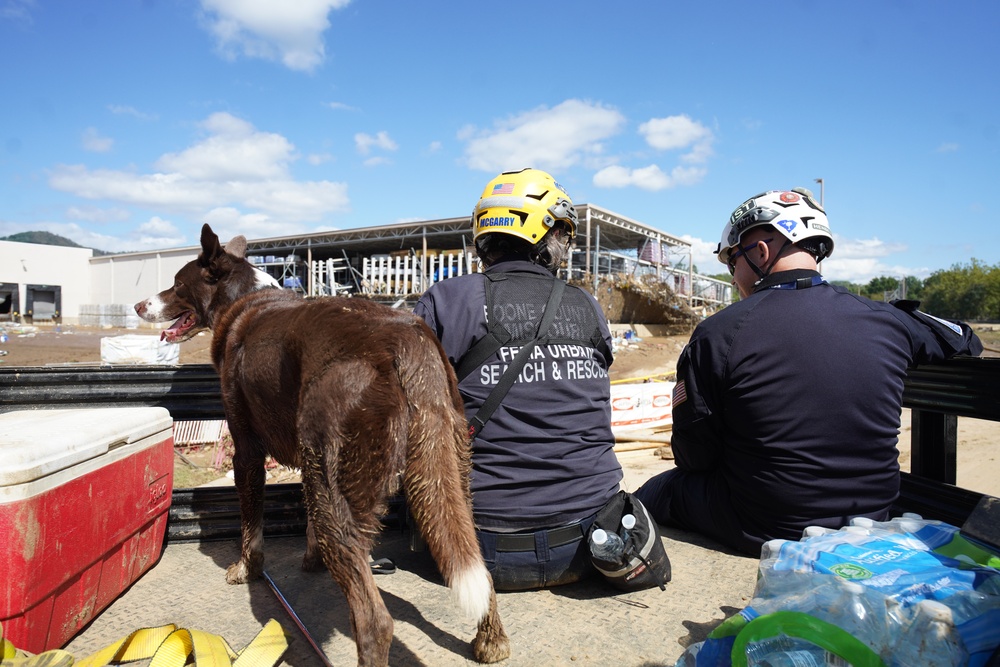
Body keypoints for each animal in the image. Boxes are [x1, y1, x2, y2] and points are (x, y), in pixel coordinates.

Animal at [135, 226, 508, 667]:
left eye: (177, 285)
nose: (139, 304)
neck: (245, 299)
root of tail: (406, 343)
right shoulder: (309, 453)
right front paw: (310, 559)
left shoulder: (247, 448)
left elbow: (251, 521)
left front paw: (246, 569)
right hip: (450, 472)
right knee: (479, 566)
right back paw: (491, 642)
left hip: (338, 495)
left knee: (374, 622)